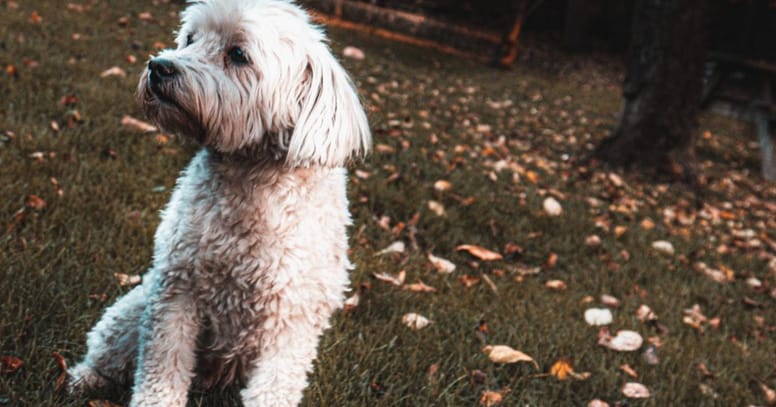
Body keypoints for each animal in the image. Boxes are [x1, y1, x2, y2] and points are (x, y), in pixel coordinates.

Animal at [67, 1, 370, 406]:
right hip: (134, 308)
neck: (250, 180)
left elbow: (274, 386)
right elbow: (163, 367)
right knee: (107, 348)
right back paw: (85, 378)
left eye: (238, 55)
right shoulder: (177, 292)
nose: (159, 65)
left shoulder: (290, 322)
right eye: (189, 38)